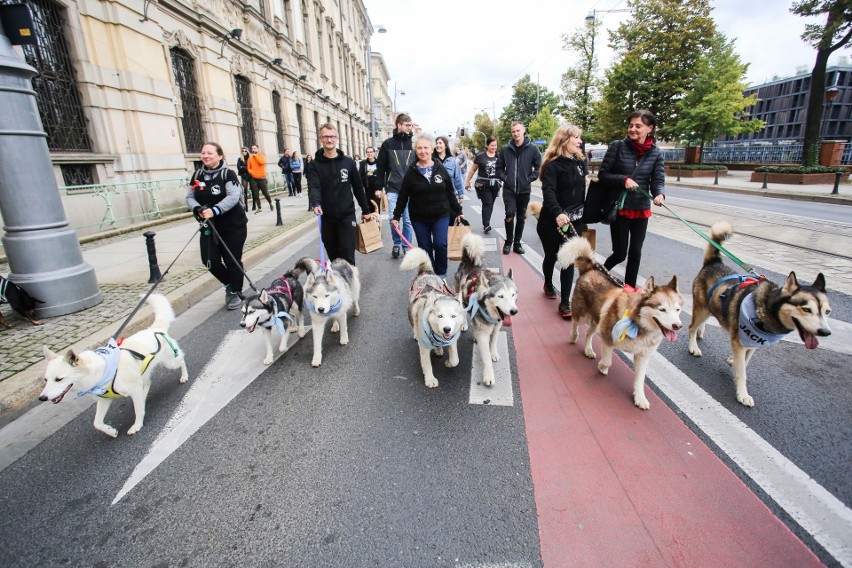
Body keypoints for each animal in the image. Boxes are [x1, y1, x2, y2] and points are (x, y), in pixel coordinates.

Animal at [38, 296, 188, 438]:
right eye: (45, 380)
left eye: (59, 379)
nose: (42, 398)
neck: (100, 372)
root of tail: (154, 329)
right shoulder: (105, 400)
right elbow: (97, 423)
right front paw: (111, 431)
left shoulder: (133, 388)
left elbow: (138, 410)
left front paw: (137, 425)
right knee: (147, 383)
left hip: (170, 362)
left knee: (181, 359)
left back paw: (184, 376)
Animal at [684, 222, 832, 408]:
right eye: (806, 309)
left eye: (827, 311)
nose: (825, 332)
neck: (767, 306)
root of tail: (714, 262)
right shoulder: (740, 341)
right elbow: (742, 371)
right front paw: (742, 394)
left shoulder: (753, 342)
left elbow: (745, 362)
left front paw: (734, 363)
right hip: (702, 308)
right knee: (691, 326)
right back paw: (693, 346)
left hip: (709, 307)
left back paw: (700, 332)